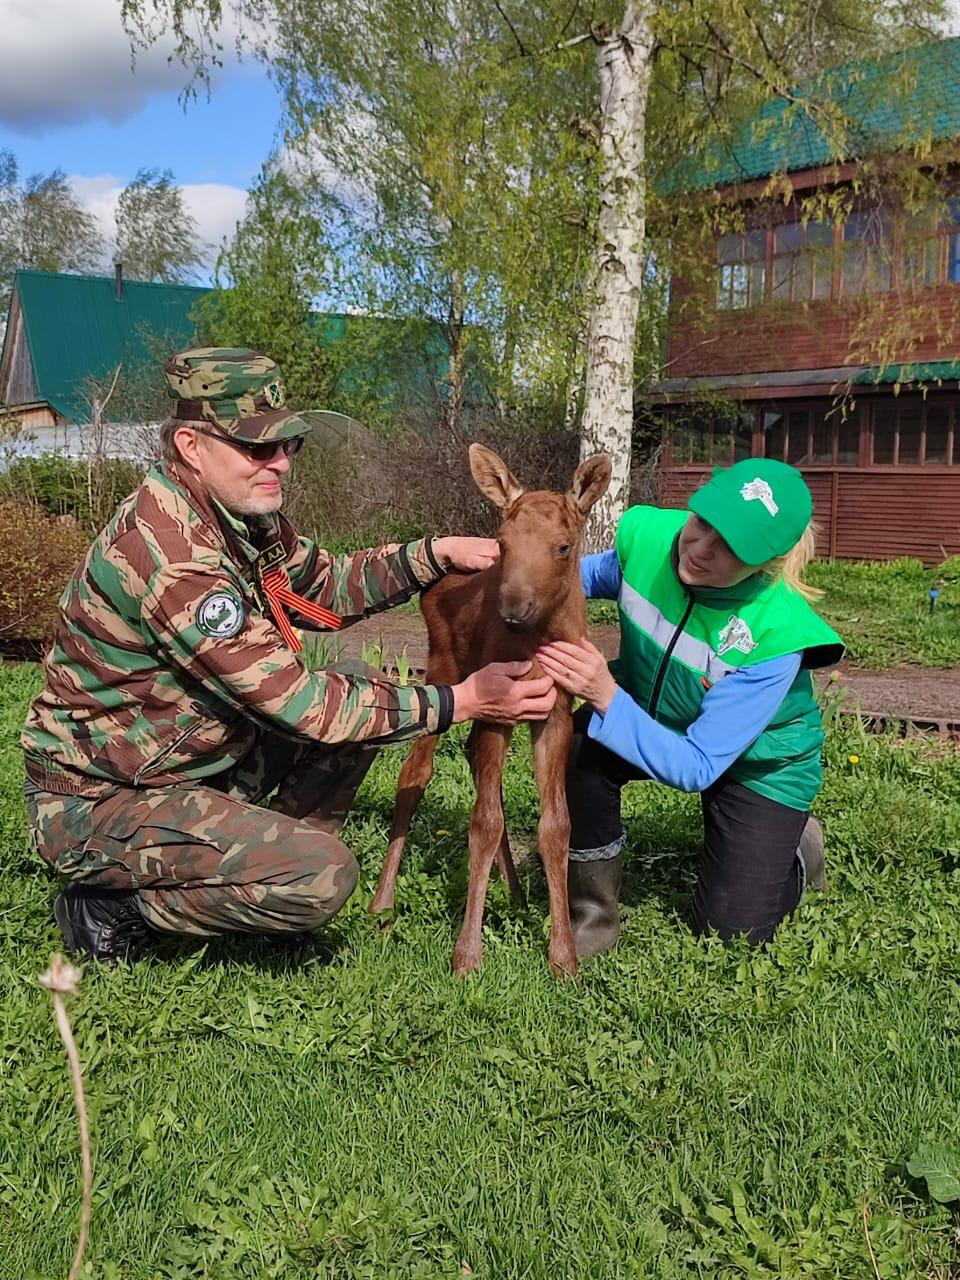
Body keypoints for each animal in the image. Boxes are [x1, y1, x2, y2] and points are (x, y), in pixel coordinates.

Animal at [368, 445, 609, 972]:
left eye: (563, 546)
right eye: (502, 544)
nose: (512, 611)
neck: (537, 643)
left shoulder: (554, 711)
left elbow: (556, 826)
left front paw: (564, 958)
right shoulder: (499, 701)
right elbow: (484, 821)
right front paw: (466, 955)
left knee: (475, 761)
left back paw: (515, 893)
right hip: (443, 667)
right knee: (415, 773)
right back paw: (382, 901)